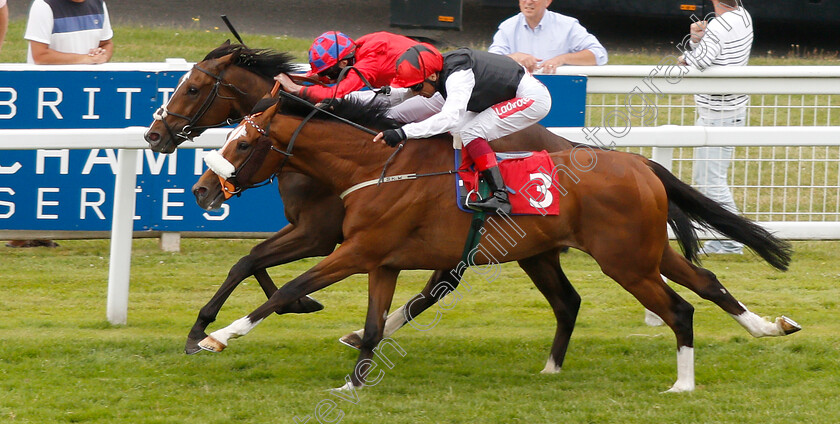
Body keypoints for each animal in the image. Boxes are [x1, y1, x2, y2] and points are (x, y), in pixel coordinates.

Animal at [192, 95, 800, 390]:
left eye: (242, 141)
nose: (201, 189)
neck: (375, 166)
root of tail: (640, 164)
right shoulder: (381, 260)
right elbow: (374, 324)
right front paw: (353, 384)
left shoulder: (353, 251)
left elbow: (286, 289)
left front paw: (217, 336)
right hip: (636, 252)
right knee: (701, 284)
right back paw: (769, 326)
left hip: (626, 262)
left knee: (679, 310)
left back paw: (682, 386)